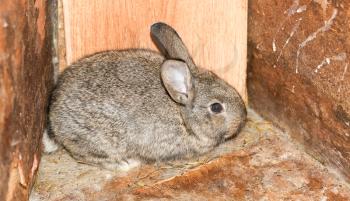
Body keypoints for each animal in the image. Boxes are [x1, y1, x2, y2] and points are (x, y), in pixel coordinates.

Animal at [46, 22, 246, 171]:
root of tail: (53, 115)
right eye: (216, 107)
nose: (242, 118)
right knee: (85, 154)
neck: (182, 116)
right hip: (93, 139)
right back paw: (126, 164)